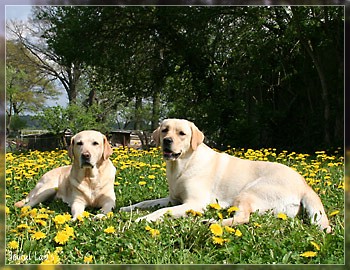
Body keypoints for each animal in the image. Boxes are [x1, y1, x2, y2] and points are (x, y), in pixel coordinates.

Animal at [120, 119, 330, 233]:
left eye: (182, 133)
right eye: (164, 130)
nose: (167, 141)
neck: (182, 166)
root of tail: (305, 185)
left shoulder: (195, 203)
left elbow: (161, 211)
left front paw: (143, 219)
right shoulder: (173, 199)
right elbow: (146, 202)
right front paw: (128, 208)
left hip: (249, 192)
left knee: (243, 218)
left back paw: (210, 222)